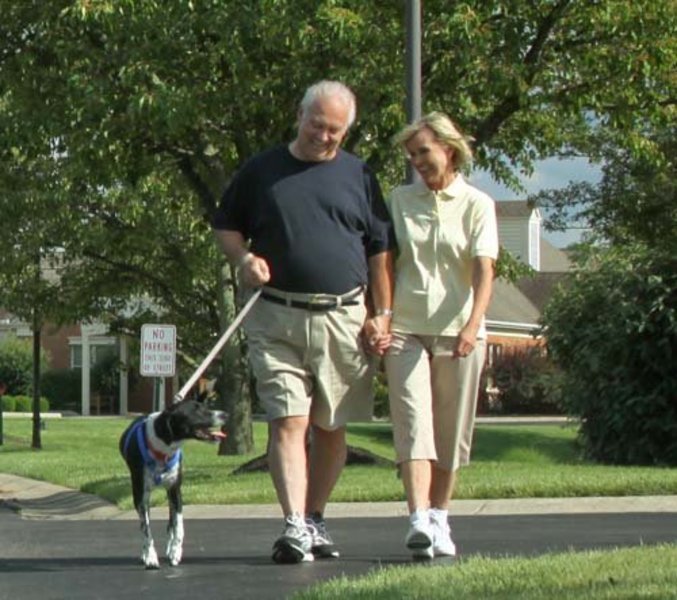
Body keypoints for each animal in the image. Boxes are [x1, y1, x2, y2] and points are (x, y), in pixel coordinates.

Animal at [119, 396, 227, 568]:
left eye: (205, 406)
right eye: (197, 410)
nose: (225, 415)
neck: (162, 449)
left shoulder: (175, 491)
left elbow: (178, 526)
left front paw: (175, 551)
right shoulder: (140, 497)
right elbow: (146, 529)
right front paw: (150, 556)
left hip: (169, 496)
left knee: (171, 522)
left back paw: (170, 548)